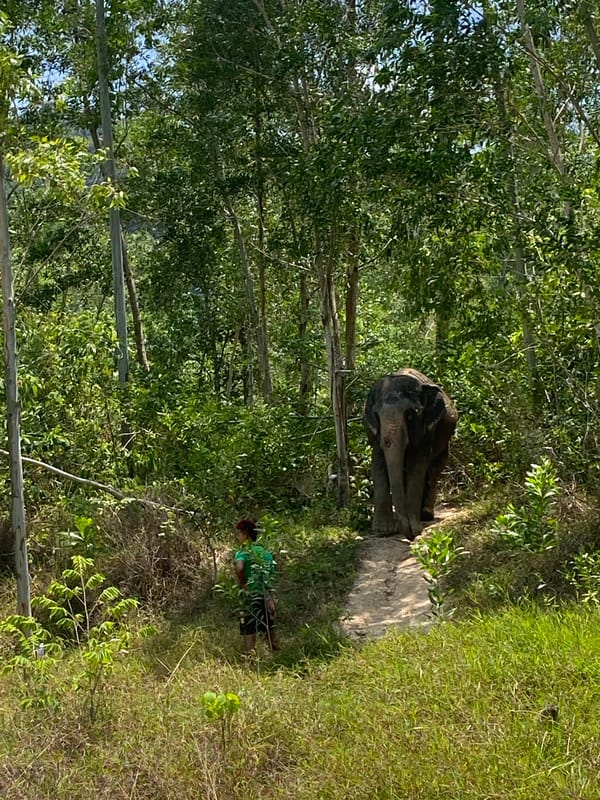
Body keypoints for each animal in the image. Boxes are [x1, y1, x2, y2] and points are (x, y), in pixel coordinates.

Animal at [363, 368, 458, 540]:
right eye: (377, 415)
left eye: (410, 414)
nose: (412, 536)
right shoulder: (372, 430)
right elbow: (378, 464)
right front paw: (383, 531)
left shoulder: (427, 429)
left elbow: (418, 465)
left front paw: (415, 528)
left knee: (434, 470)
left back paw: (426, 515)